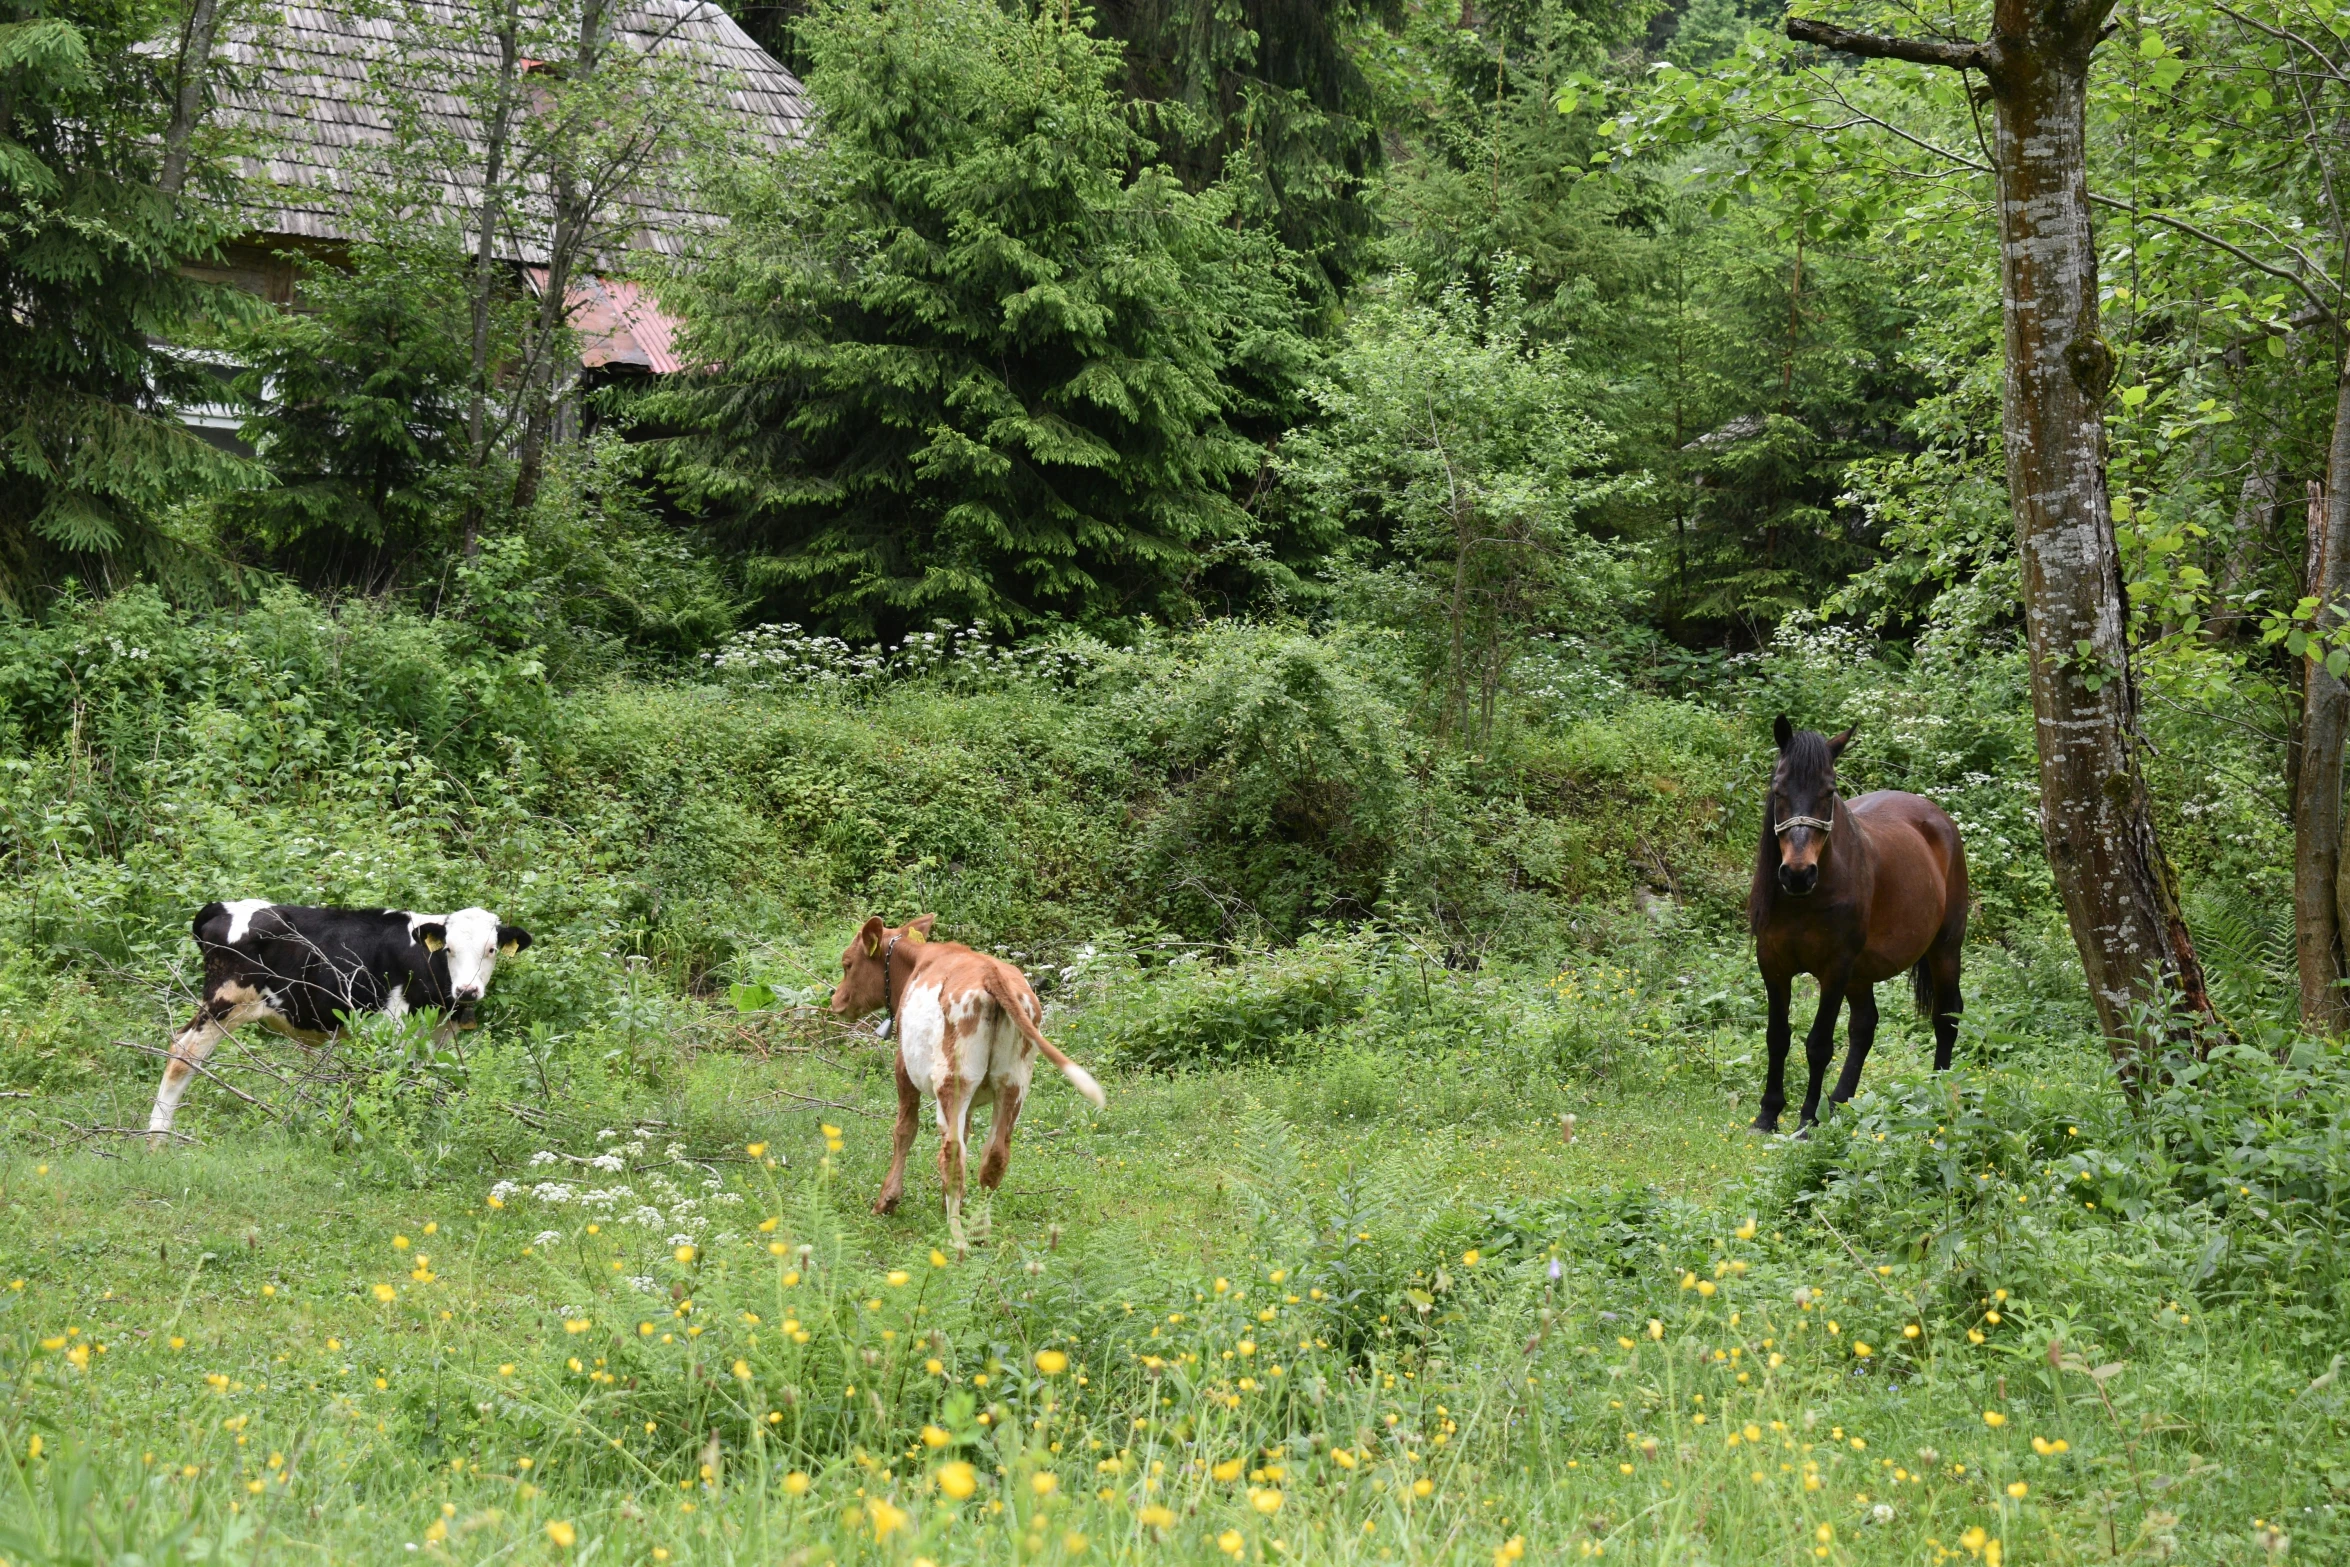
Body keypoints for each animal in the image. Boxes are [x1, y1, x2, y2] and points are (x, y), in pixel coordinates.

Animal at [831, 911, 1104, 1259]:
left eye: (847, 963)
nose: (835, 1000)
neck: (918, 962)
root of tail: (992, 974)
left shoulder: (903, 1068)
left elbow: (905, 1130)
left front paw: (887, 1201)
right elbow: (968, 1134)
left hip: (953, 1079)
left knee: (952, 1154)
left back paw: (957, 1238)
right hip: (1013, 1083)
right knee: (994, 1156)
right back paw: (978, 1232)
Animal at [1748, 718, 1964, 1132]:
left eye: (1829, 791)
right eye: (1778, 789)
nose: (1797, 874)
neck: (1805, 899)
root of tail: (1937, 817)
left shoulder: (1835, 968)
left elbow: (1818, 1044)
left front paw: (1806, 1120)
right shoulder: (1773, 964)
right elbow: (1777, 1036)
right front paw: (1768, 1113)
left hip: (1945, 949)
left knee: (1947, 1017)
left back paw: (1937, 1092)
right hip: (1862, 972)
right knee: (1864, 1026)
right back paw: (1839, 1102)